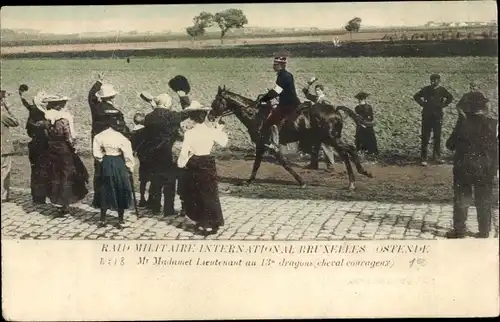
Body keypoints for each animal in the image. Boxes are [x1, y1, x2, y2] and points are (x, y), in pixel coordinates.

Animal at [209, 86, 374, 191]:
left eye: (216, 101)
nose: (210, 116)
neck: (255, 115)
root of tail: (334, 110)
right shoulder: (263, 145)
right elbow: (259, 164)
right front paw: (249, 181)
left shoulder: (266, 145)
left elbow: (281, 163)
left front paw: (301, 182)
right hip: (330, 139)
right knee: (347, 152)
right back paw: (357, 178)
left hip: (331, 138)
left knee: (348, 151)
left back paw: (357, 178)